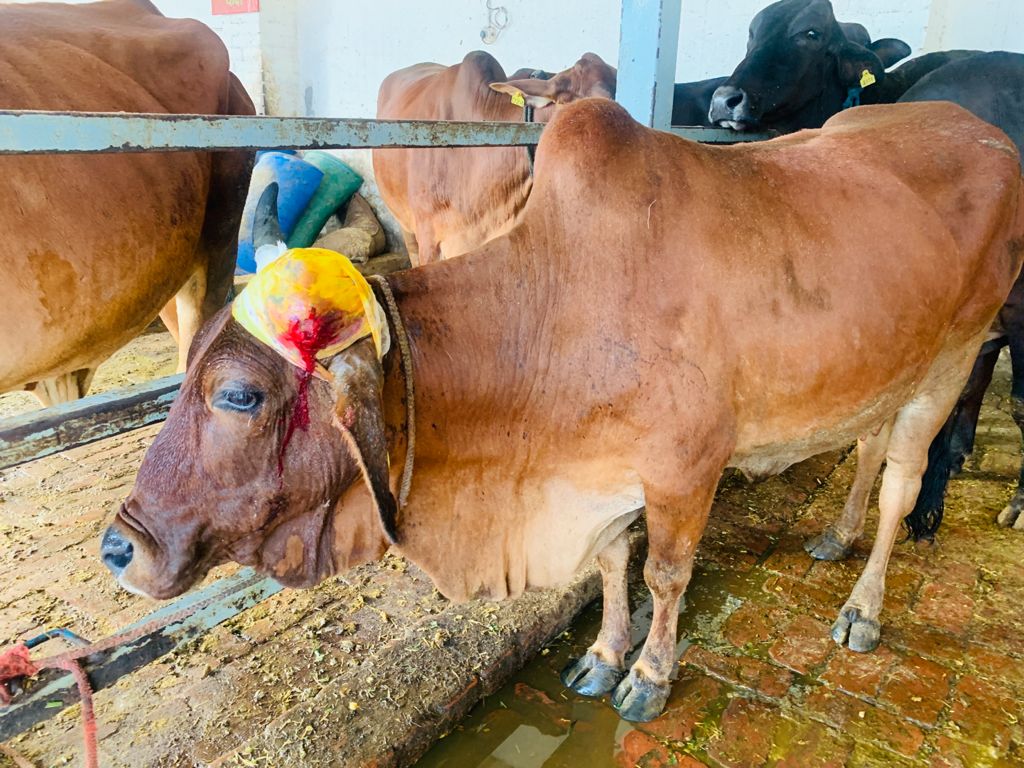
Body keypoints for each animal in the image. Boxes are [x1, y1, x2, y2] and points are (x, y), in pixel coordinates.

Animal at [102, 99, 1024, 723]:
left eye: (239, 394)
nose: (120, 547)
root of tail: (981, 129)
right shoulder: (596, 472)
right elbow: (612, 565)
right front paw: (605, 656)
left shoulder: (685, 467)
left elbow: (663, 573)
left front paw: (648, 676)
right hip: (890, 364)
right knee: (866, 450)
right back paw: (836, 534)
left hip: (953, 359)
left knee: (903, 481)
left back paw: (863, 608)